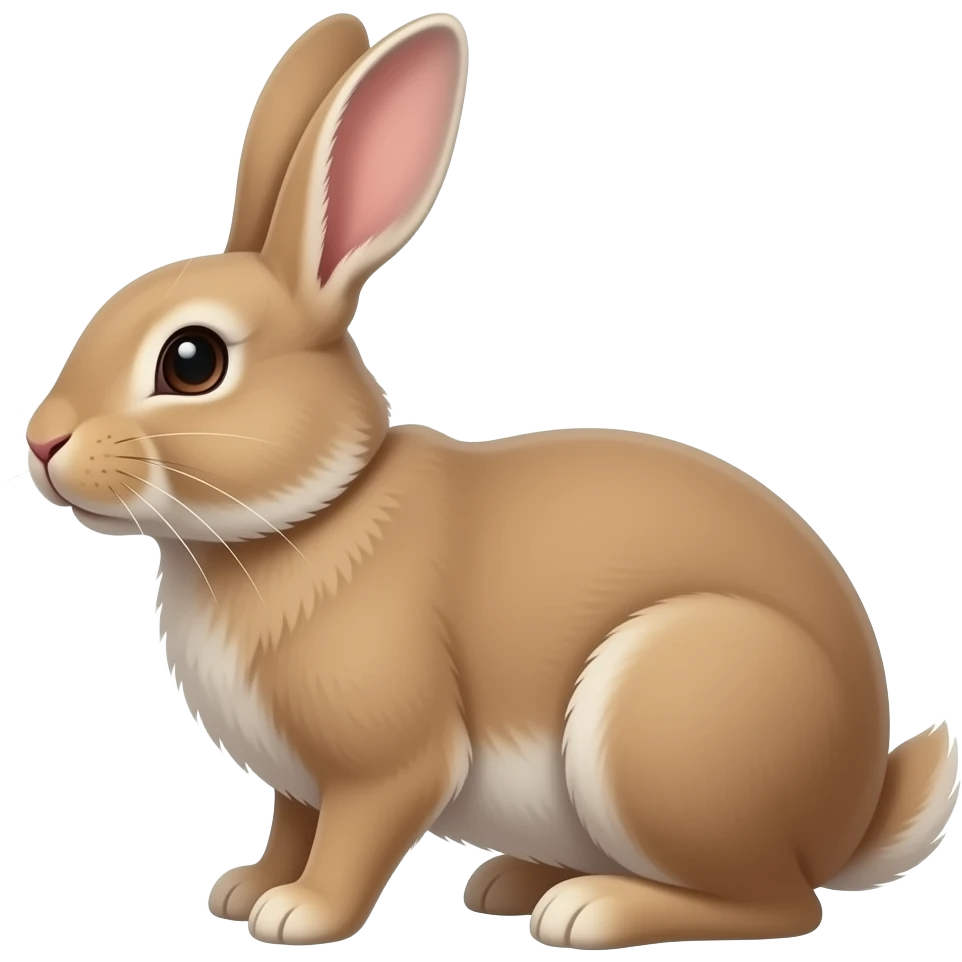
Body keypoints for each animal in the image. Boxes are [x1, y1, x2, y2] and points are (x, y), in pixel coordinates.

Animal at [21, 10, 959, 952]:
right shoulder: (297, 780)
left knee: (778, 903)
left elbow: (354, 836)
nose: (42, 441)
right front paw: (245, 890)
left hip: (667, 720)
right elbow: (291, 824)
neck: (311, 514)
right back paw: (515, 880)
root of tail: (852, 815)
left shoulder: (387, 759)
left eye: (192, 361)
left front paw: (300, 914)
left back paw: (589, 909)